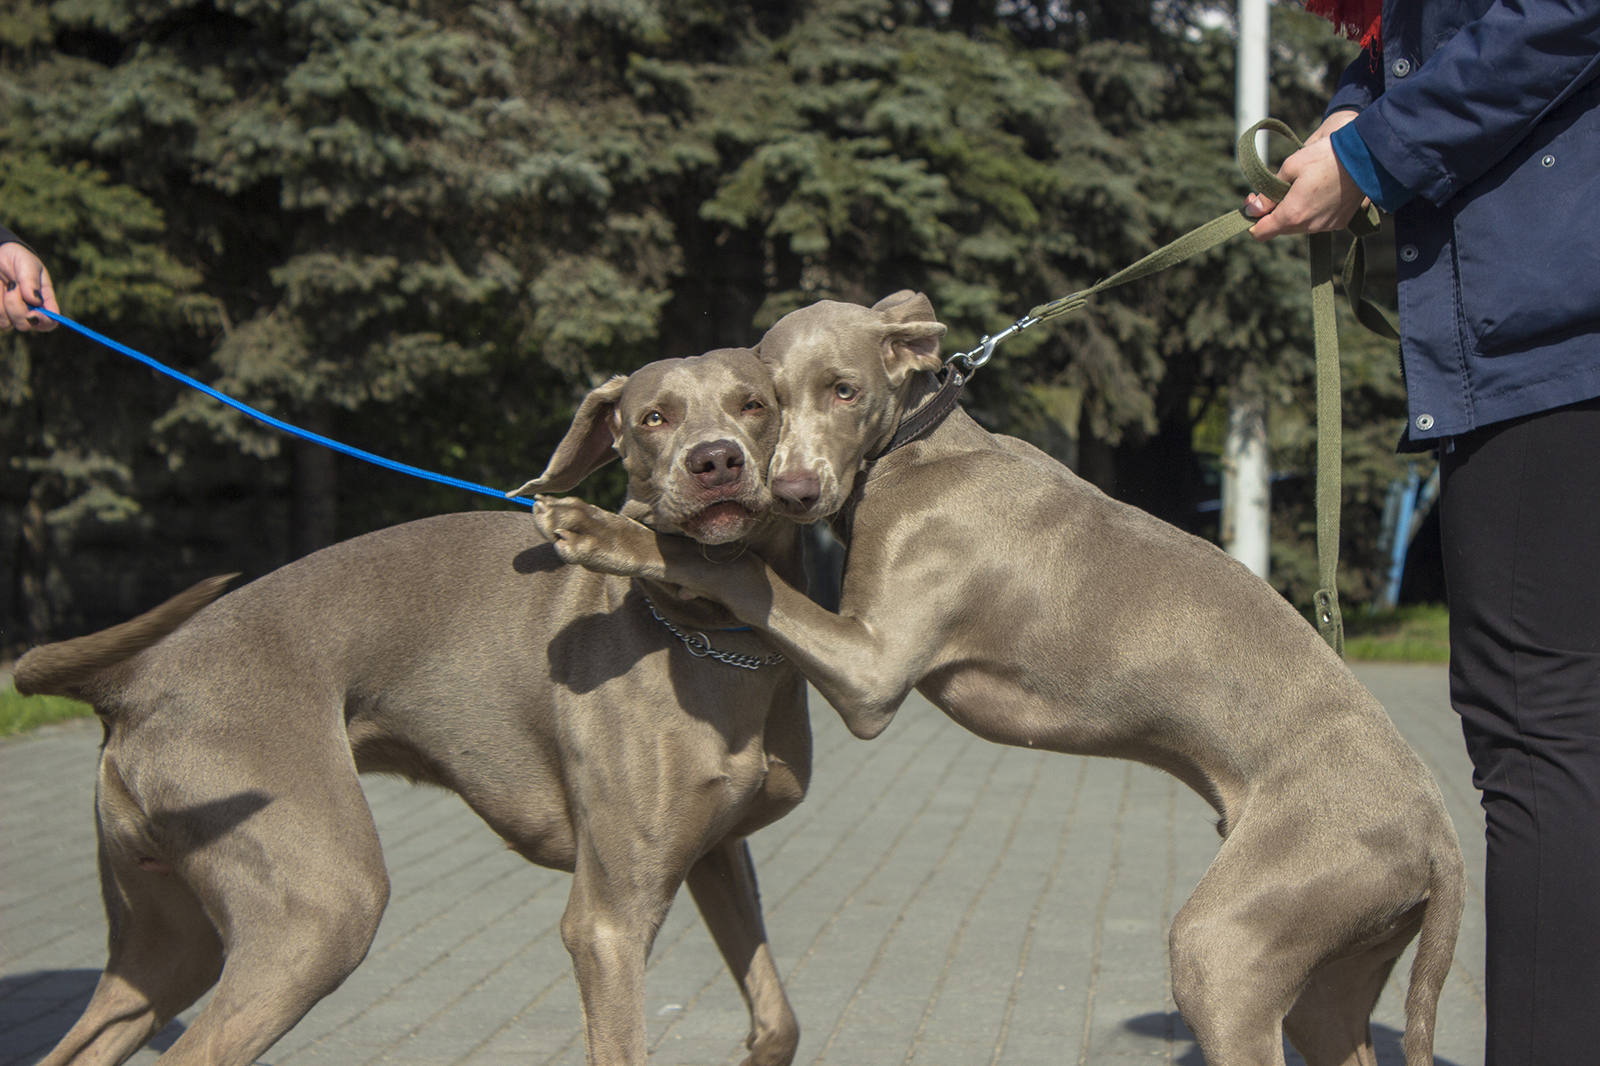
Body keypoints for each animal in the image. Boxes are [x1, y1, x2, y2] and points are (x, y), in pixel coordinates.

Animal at [17, 348, 806, 1062]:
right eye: (653, 418)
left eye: (753, 404)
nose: (716, 461)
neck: (704, 631)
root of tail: (137, 675)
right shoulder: (609, 922)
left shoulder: (716, 856)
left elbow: (778, 1021)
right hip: (321, 906)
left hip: (170, 939)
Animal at [534, 294, 1465, 1062]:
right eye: (767, 398)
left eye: (843, 391)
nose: (791, 490)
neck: (919, 451)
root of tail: (1439, 834)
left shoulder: (871, 669)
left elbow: (727, 569)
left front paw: (606, 529)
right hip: (1327, 974)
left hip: (1227, 949)